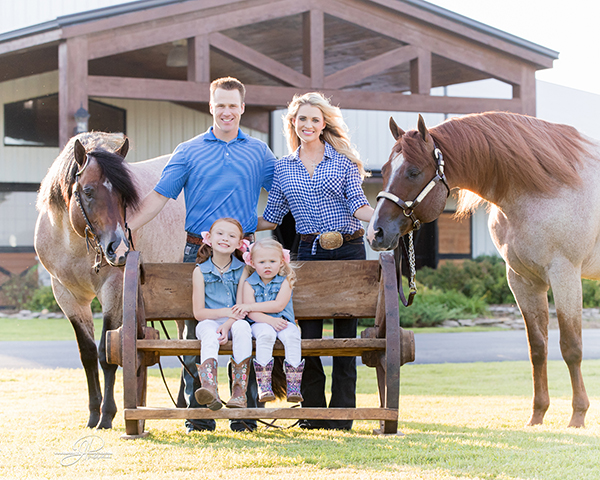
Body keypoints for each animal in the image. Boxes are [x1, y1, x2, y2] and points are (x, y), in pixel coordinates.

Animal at [35, 133, 184, 430]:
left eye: (126, 195)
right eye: (88, 191)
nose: (120, 249)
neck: (73, 243)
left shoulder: (114, 291)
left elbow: (107, 353)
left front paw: (107, 414)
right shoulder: (67, 297)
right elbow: (88, 354)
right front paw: (94, 412)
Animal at [368, 112, 596, 428]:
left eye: (412, 172)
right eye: (385, 169)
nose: (375, 233)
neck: (548, 188)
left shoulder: (565, 275)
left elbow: (571, 347)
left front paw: (578, 416)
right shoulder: (522, 280)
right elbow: (537, 348)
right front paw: (537, 415)